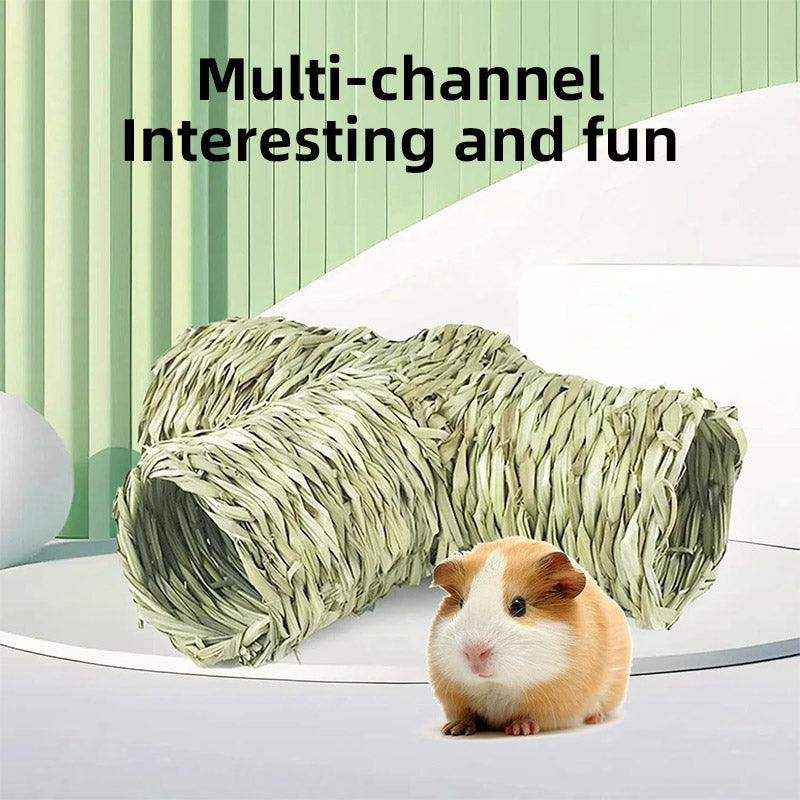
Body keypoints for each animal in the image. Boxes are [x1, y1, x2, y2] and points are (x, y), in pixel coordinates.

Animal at [427, 537, 631, 736]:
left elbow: (530, 716)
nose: (474, 652)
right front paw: (454, 729)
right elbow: (467, 715)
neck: (495, 686)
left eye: (519, 606)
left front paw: (519, 729)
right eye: (461, 603)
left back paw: (595, 718)